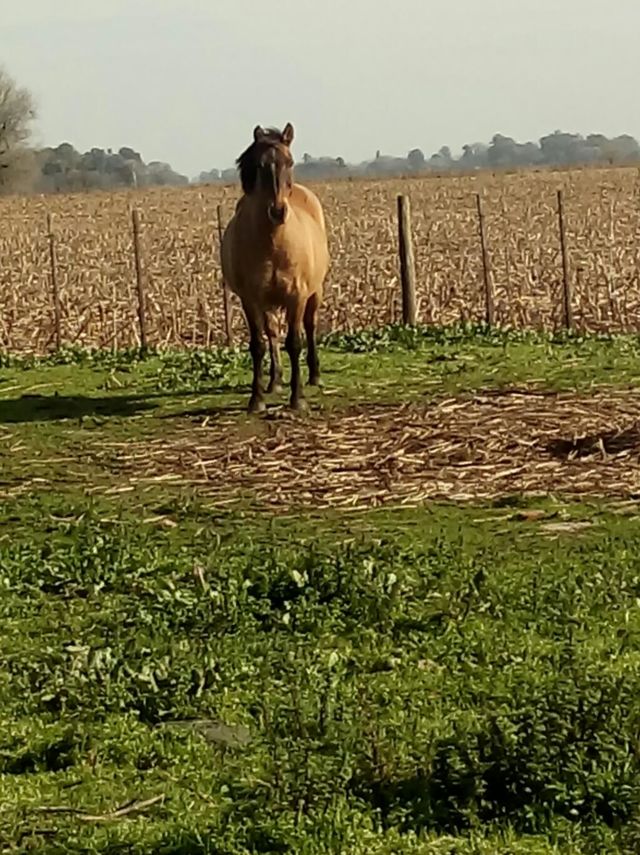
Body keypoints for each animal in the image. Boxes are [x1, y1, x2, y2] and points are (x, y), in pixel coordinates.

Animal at [221, 122, 330, 413]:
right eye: (260, 165)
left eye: (289, 162)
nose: (278, 211)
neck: (273, 241)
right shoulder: (251, 299)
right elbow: (259, 344)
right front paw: (256, 399)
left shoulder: (297, 296)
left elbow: (295, 342)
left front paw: (298, 399)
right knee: (271, 333)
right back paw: (275, 382)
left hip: (315, 293)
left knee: (310, 326)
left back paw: (314, 376)